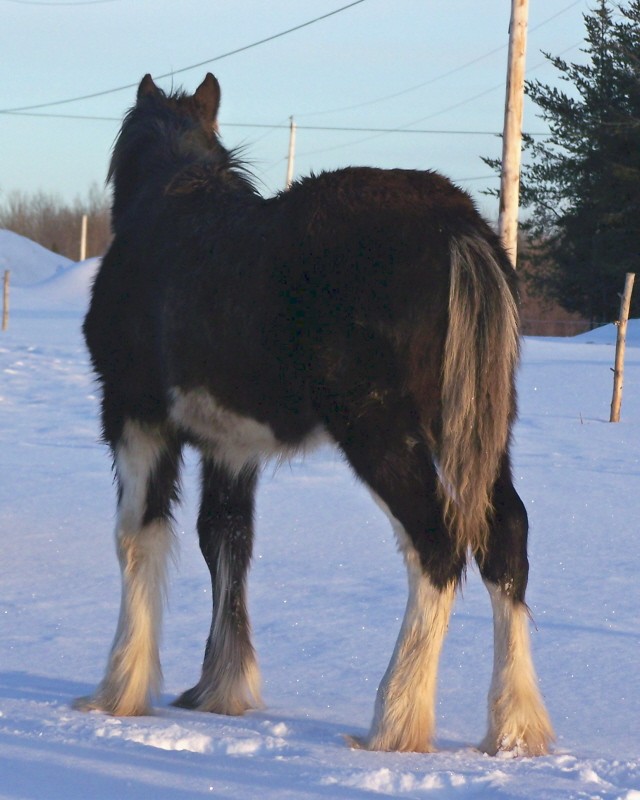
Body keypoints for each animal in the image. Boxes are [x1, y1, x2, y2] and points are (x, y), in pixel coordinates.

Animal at [76, 75, 556, 756]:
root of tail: (458, 228)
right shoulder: (231, 445)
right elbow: (225, 541)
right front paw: (220, 691)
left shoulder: (134, 419)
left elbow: (137, 539)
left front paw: (119, 690)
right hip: (479, 429)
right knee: (505, 539)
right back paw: (514, 728)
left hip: (378, 432)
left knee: (436, 546)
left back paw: (395, 721)